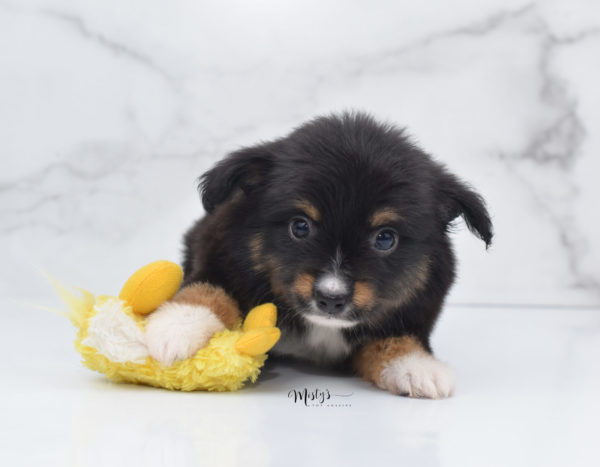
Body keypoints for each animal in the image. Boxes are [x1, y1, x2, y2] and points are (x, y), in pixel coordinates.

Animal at [144, 112, 492, 398]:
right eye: (300, 227)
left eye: (385, 239)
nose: (331, 299)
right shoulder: (220, 254)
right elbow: (208, 288)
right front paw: (175, 329)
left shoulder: (414, 307)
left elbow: (396, 336)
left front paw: (416, 367)